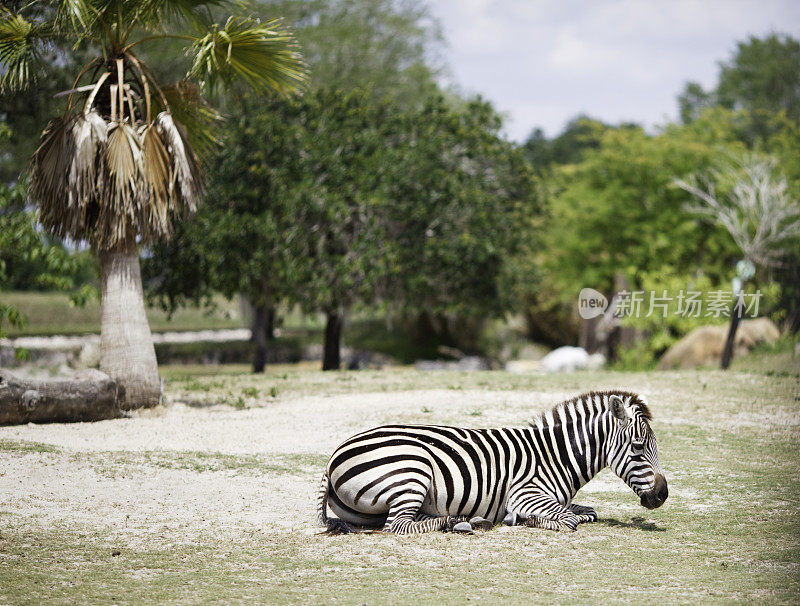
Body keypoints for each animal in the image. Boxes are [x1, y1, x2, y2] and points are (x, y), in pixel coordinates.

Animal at [318, 390, 668, 536]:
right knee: (397, 526)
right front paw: (526, 520)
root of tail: (332, 456)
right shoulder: (525, 493)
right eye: (638, 448)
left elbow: (587, 511)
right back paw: (457, 522)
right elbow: (567, 519)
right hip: (413, 471)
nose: (663, 495)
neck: (556, 456)